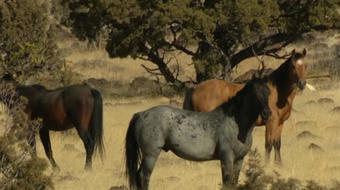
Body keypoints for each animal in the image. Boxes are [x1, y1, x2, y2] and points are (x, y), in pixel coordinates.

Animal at [125, 77, 270, 190]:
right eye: (255, 94)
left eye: (268, 93)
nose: (267, 114)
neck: (235, 123)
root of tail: (141, 114)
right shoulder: (227, 158)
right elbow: (227, 183)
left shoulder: (239, 159)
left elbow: (234, 182)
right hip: (151, 154)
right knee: (143, 177)